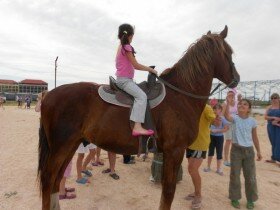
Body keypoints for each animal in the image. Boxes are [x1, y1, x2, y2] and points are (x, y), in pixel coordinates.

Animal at [36, 25, 238, 209]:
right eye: (229, 52)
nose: (236, 79)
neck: (180, 96)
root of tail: (48, 95)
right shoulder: (175, 151)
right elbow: (168, 192)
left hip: (71, 144)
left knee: (56, 180)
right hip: (61, 146)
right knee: (48, 179)